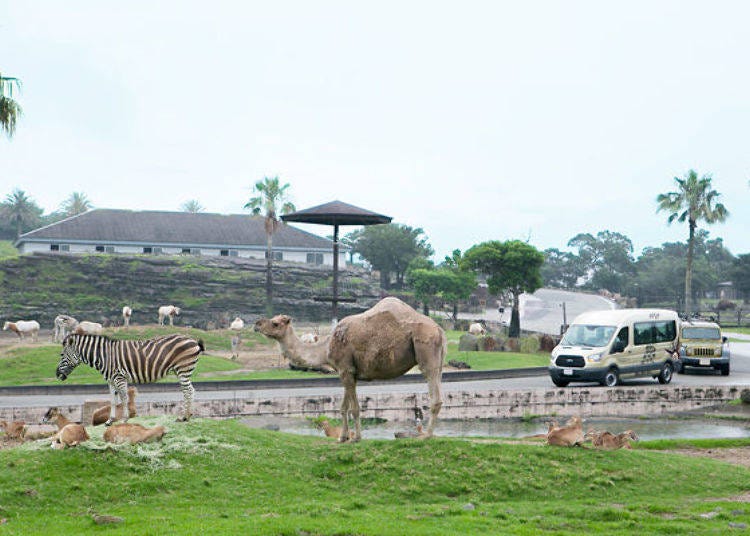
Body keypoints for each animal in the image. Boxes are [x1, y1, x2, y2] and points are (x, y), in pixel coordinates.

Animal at [57, 336, 206, 422]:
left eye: (62, 355)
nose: (57, 375)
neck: (104, 356)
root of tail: (192, 340)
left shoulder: (119, 377)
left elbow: (124, 399)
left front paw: (125, 418)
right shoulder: (110, 380)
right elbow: (112, 400)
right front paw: (110, 420)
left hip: (183, 369)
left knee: (188, 391)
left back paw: (183, 417)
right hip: (181, 370)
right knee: (191, 390)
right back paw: (188, 416)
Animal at [258, 296, 446, 442]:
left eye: (275, 323)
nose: (257, 324)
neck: (326, 347)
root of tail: (439, 330)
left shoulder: (345, 369)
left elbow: (354, 408)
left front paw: (355, 438)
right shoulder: (349, 372)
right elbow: (343, 407)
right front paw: (343, 437)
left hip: (426, 347)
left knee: (434, 393)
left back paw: (426, 436)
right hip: (438, 360)